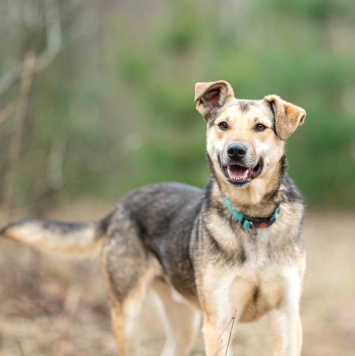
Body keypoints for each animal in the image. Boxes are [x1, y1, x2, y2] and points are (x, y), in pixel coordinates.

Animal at [0, 80, 306, 356]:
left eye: (260, 127)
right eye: (223, 125)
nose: (236, 150)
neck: (252, 218)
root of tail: (122, 204)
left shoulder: (287, 315)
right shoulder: (219, 321)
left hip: (184, 324)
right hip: (128, 315)